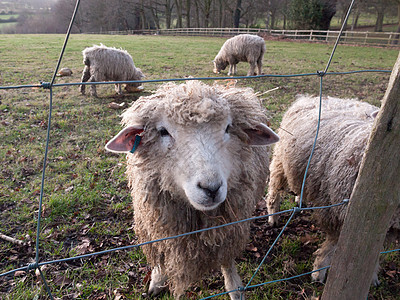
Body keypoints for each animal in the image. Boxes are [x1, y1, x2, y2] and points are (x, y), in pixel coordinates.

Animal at [104, 81, 278, 298]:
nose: (211, 188)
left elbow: (227, 260)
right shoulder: (159, 225)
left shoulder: (229, 227)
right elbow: (162, 255)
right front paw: (157, 280)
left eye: (228, 127)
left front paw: (235, 288)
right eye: (162, 131)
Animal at [264, 96, 398, 286]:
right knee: (274, 189)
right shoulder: (337, 214)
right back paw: (273, 216)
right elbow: (331, 247)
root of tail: (308, 97)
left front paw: (370, 276)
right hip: (281, 160)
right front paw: (318, 273)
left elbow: (373, 251)